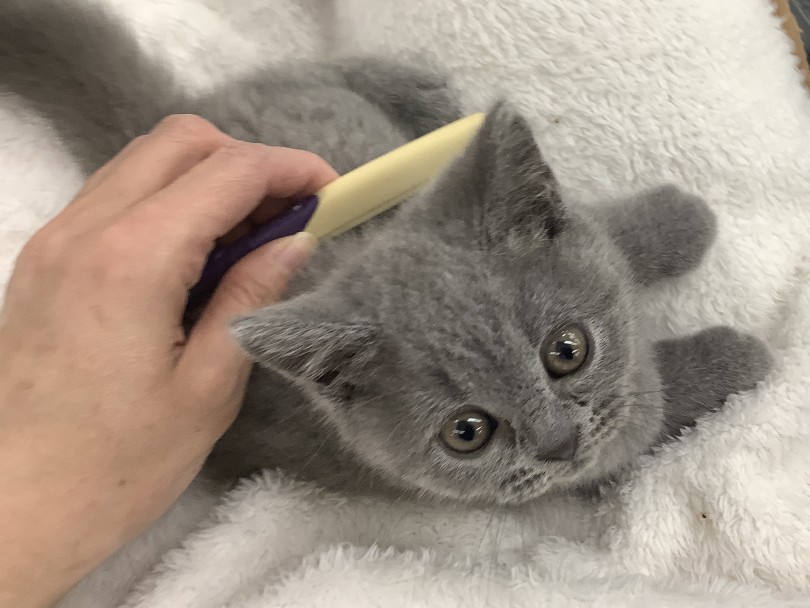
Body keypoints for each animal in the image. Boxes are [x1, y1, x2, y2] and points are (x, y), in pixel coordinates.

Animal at [0, 0, 772, 506]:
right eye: (467, 433)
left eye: (567, 350)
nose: (557, 444)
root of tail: (153, 120)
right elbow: (652, 412)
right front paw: (733, 355)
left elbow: (606, 234)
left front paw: (681, 220)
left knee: (312, 74)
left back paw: (422, 93)